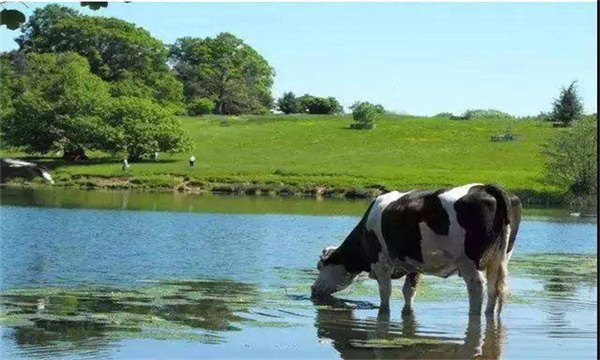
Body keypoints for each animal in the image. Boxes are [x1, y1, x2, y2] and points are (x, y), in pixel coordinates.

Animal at [312, 184, 524, 316]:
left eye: (320, 266)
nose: (312, 289)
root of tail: (486, 187)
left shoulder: (380, 263)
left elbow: (385, 292)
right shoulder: (415, 264)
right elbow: (409, 291)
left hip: (469, 262)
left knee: (477, 287)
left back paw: (474, 314)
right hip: (500, 258)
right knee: (493, 289)